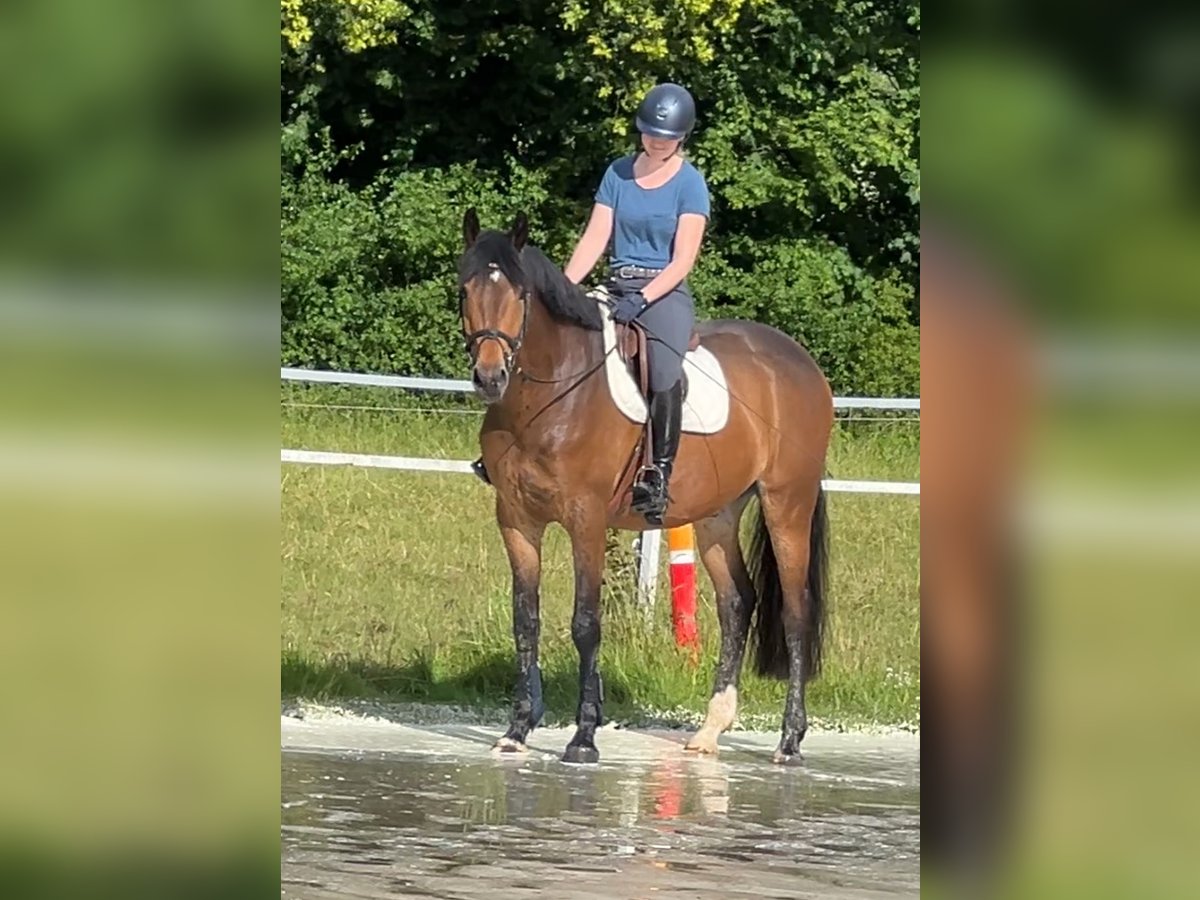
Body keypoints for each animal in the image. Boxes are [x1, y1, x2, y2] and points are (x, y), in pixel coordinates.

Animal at [458, 211, 835, 768]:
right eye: (464, 290)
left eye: (519, 295)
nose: (490, 376)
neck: (549, 394)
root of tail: (800, 362)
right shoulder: (516, 519)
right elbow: (525, 621)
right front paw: (518, 729)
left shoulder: (586, 520)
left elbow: (585, 623)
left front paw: (583, 737)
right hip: (717, 513)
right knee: (736, 603)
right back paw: (709, 732)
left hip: (787, 501)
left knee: (794, 611)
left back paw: (789, 741)